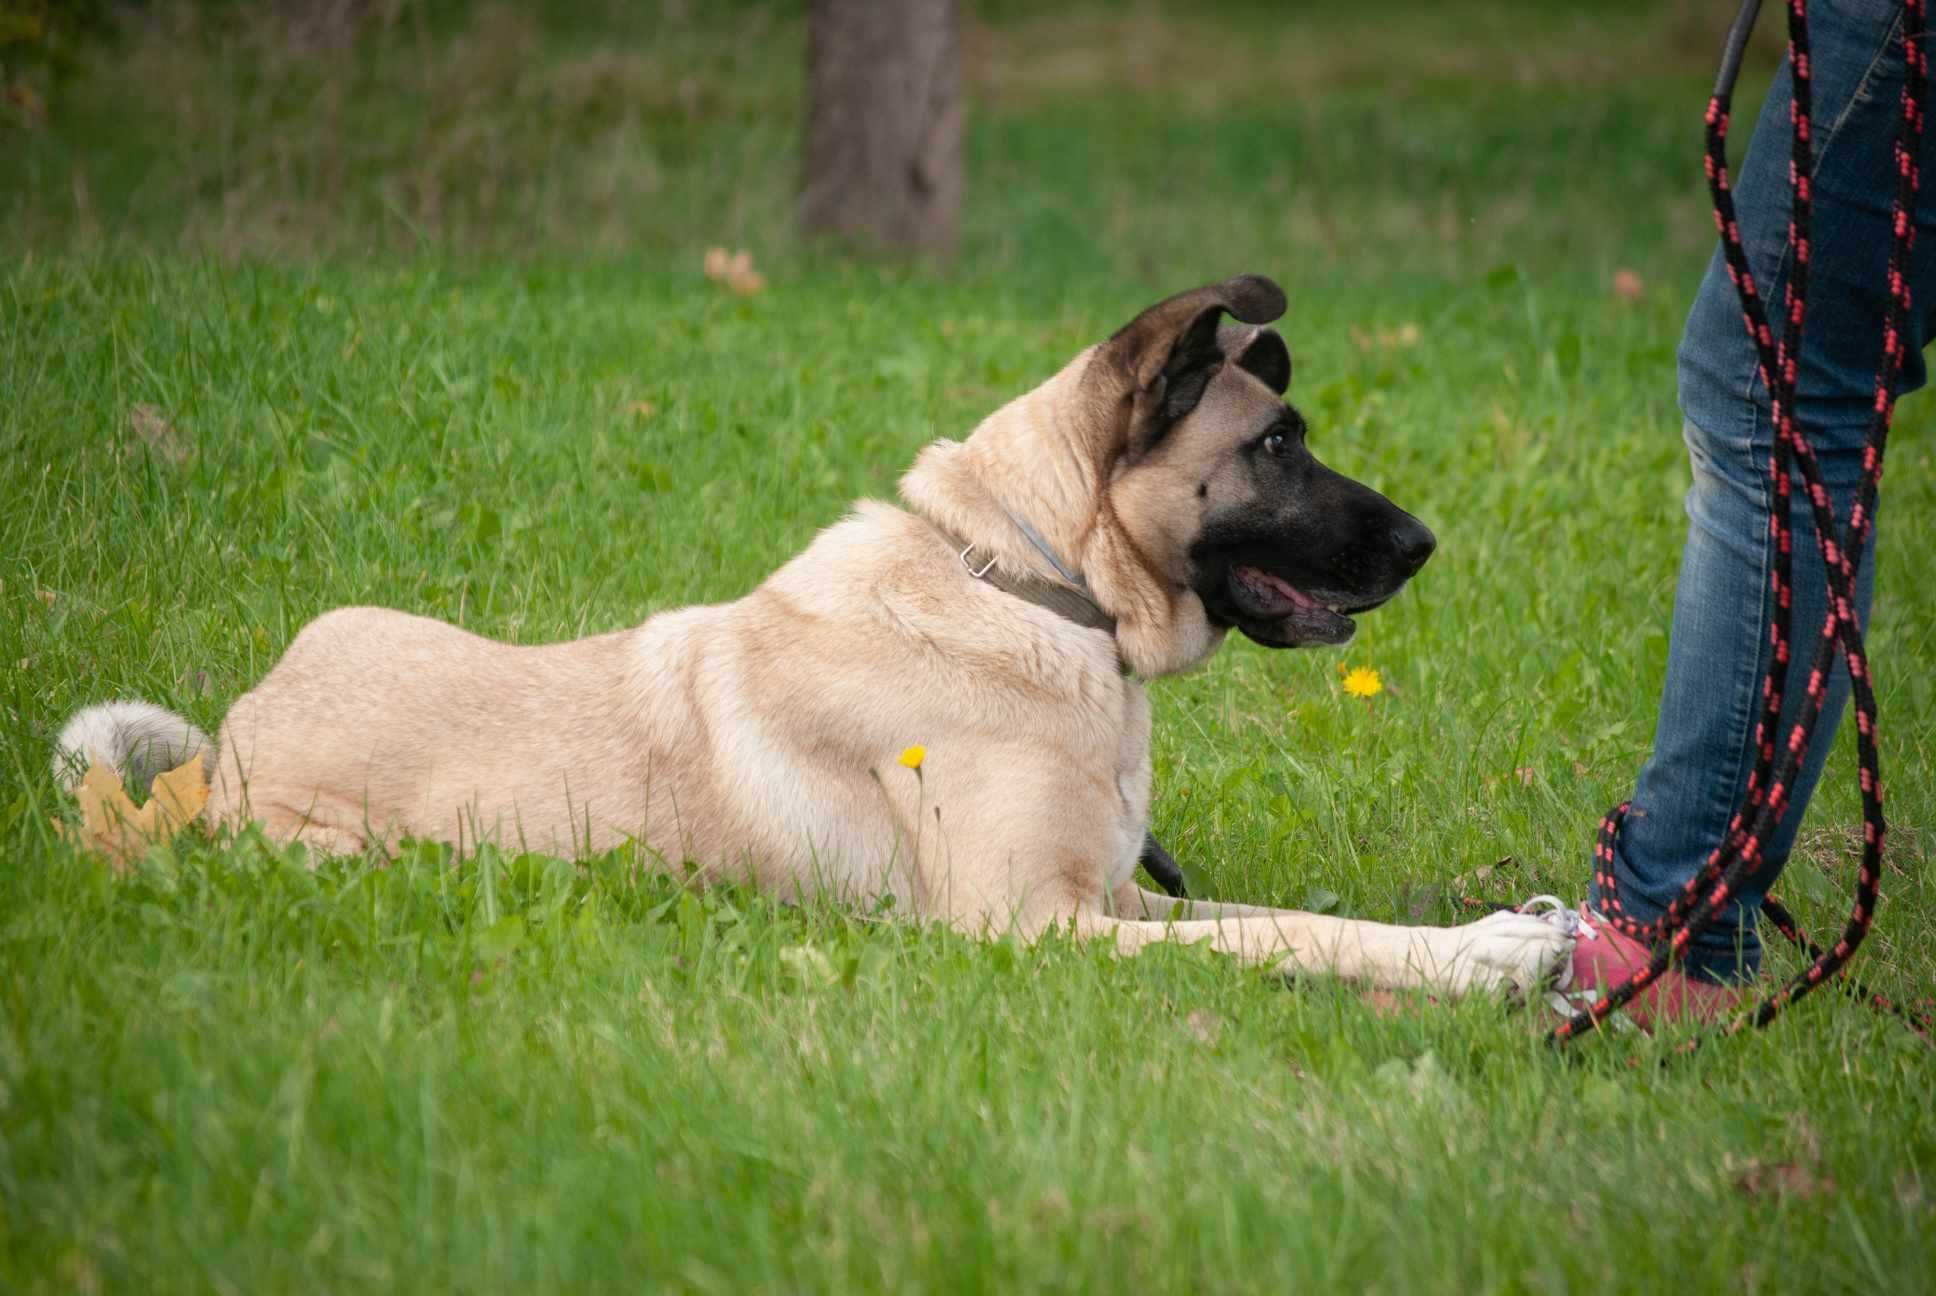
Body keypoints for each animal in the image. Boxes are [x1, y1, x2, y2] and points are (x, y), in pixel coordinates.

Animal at [56, 273, 1572, 999]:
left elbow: (1298, 920)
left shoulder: (1118, 897)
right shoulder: (1031, 926)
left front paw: (1506, 930)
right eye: (1275, 446)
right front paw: (1494, 961)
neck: (1030, 587)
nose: (1426, 547)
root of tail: (218, 767)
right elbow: (1286, 943)